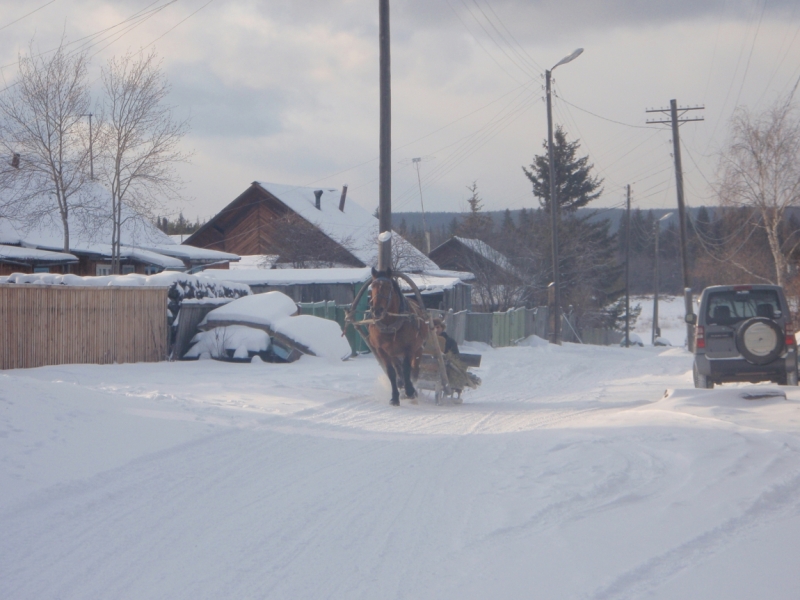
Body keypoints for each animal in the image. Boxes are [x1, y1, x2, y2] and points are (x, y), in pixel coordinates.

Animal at [370, 268, 432, 406]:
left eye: (388, 287)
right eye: (372, 286)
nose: (377, 310)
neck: (390, 325)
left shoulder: (408, 348)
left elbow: (407, 369)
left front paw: (410, 391)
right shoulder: (382, 350)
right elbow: (391, 373)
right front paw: (395, 397)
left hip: (418, 349)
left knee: (414, 370)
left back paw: (411, 390)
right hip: (393, 353)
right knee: (398, 369)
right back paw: (401, 385)